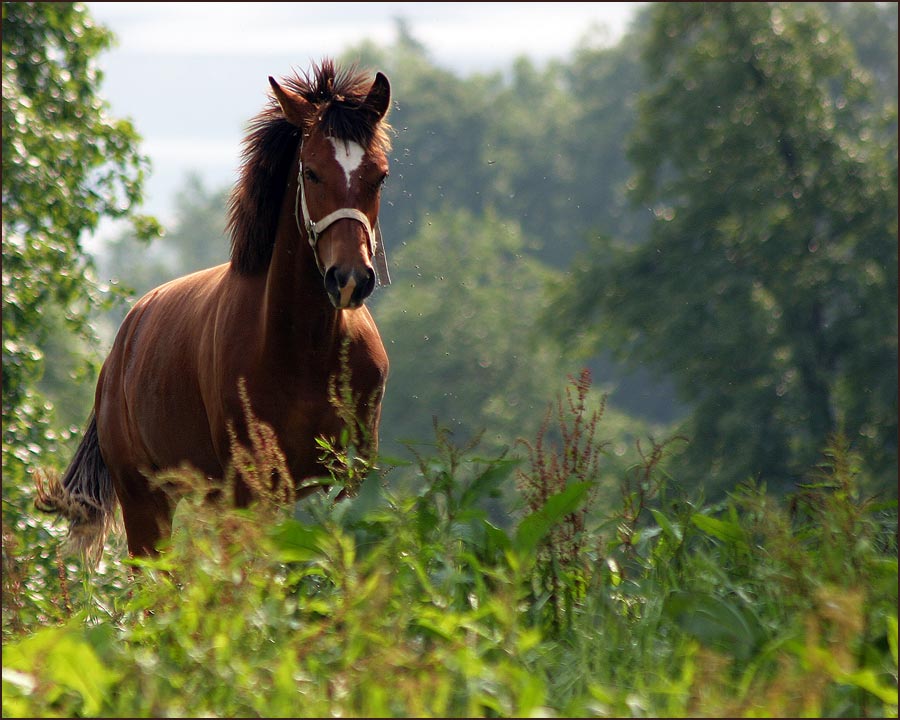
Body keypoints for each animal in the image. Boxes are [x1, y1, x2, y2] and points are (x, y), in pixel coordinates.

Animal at [35, 60, 394, 556]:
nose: (350, 279)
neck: (305, 351)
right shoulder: (249, 490)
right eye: (311, 172)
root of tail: (121, 344)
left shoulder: (340, 484)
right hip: (146, 505)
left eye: (379, 175)